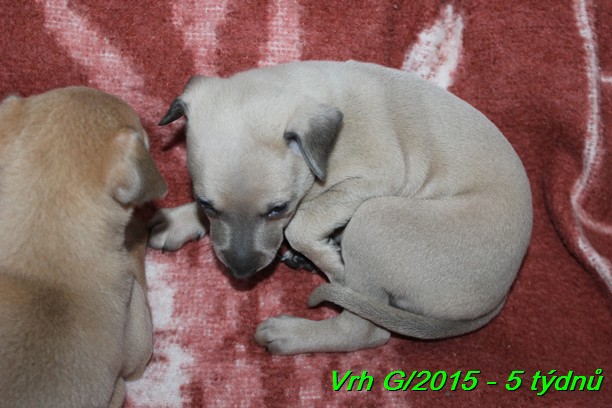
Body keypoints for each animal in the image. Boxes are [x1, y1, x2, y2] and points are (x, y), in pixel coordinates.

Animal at [149, 60, 532, 354]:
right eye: (207, 205)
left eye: (277, 209)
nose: (242, 273)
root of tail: (497, 299)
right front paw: (178, 220)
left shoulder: (376, 177)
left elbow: (299, 224)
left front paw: (331, 262)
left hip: (374, 220)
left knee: (366, 330)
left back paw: (291, 333)